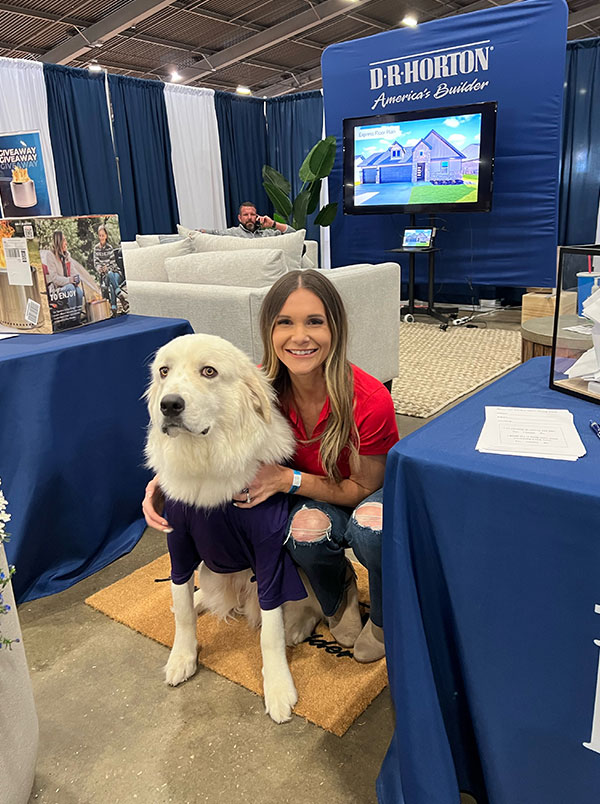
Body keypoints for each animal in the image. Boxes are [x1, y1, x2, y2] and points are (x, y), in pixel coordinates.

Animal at [145, 332, 322, 724]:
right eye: (164, 371)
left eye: (208, 371)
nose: (169, 405)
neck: (208, 465)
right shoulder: (179, 545)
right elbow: (182, 609)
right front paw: (182, 658)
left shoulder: (269, 553)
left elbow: (270, 630)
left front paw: (278, 688)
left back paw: (298, 628)